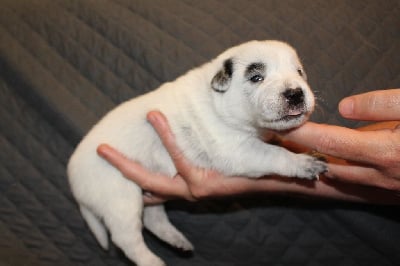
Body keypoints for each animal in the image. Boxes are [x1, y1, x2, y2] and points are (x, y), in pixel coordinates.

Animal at [67, 40, 326, 266]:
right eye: (256, 78)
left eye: (299, 72)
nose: (295, 93)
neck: (218, 101)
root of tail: (74, 184)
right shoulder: (238, 149)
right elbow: (275, 154)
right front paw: (304, 162)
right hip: (119, 196)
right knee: (127, 238)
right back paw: (153, 261)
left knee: (152, 217)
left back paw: (177, 240)